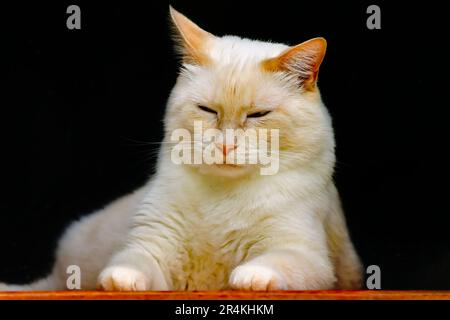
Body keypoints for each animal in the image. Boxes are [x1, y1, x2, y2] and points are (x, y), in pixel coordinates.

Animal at [0, 6, 362, 292]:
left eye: (258, 115)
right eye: (207, 111)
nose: (226, 145)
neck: (224, 197)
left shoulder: (304, 254)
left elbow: (274, 264)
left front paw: (248, 278)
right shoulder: (154, 242)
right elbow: (133, 262)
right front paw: (121, 279)